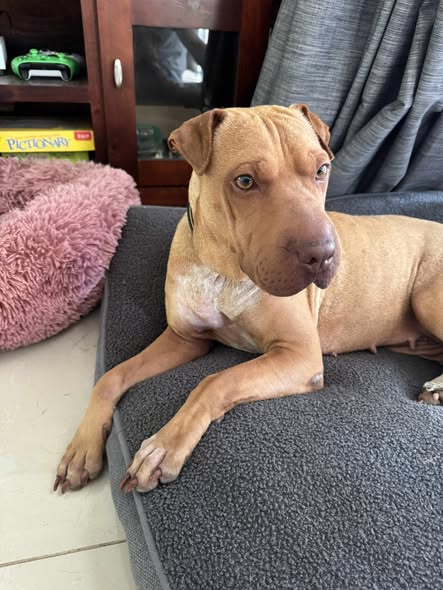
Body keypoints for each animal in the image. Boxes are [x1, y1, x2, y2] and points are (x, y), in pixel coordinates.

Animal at [54, 104, 443, 495]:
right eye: (244, 181)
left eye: (321, 170)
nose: (324, 255)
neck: (223, 271)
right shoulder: (184, 339)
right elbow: (112, 376)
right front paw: (81, 450)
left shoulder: (298, 355)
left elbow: (215, 381)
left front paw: (164, 446)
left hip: (426, 298)